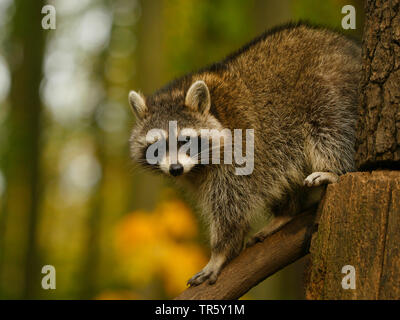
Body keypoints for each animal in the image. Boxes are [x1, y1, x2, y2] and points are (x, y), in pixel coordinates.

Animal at [129, 23, 362, 286]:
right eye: (158, 145)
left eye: (185, 140)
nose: (175, 169)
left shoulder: (239, 150)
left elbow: (231, 205)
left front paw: (219, 253)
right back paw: (287, 212)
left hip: (330, 87)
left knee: (331, 127)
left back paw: (333, 170)